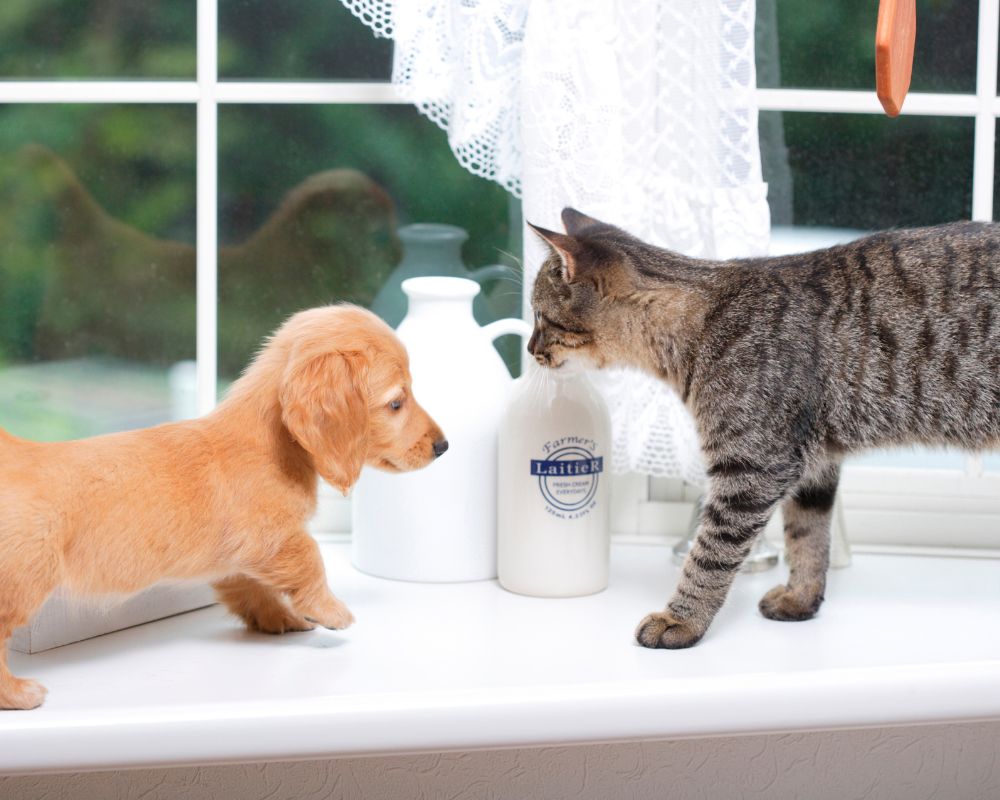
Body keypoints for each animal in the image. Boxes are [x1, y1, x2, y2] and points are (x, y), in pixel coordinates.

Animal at [0, 304, 446, 708]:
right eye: (396, 402)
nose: (443, 446)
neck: (271, 445)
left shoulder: (235, 559)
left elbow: (251, 587)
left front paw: (281, 618)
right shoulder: (275, 538)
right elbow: (311, 558)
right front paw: (330, 611)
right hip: (21, 584)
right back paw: (19, 694)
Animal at [528, 208, 996, 648]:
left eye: (538, 315)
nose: (530, 349)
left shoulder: (754, 467)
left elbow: (709, 555)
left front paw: (681, 620)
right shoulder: (814, 465)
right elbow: (807, 537)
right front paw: (801, 599)